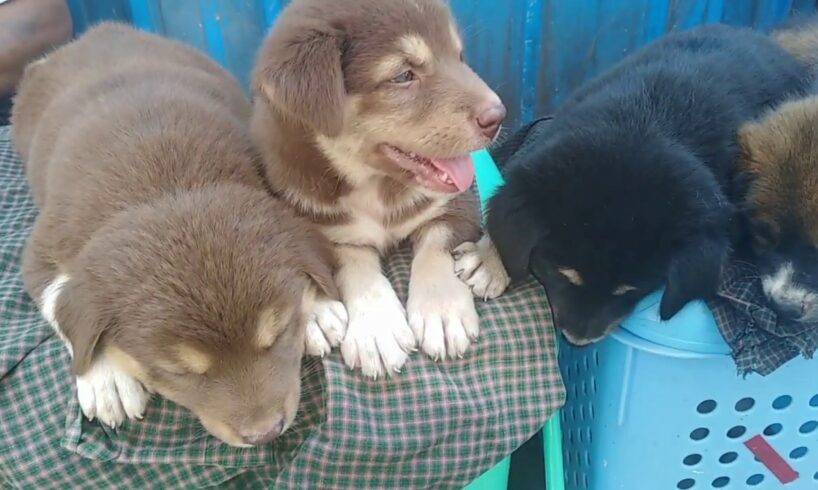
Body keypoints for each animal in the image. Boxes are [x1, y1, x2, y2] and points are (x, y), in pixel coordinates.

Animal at [10, 23, 334, 448]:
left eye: (277, 335)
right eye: (180, 371)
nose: (265, 433)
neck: (165, 186)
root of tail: (98, 31)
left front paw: (319, 312)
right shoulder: (42, 252)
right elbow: (65, 308)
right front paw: (106, 376)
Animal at [253, 0, 510, 378]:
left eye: (460, 56)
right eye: (403, 75)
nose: (498, 116)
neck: (376, 184)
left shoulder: (455, 203)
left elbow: (434, 247)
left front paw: (442, 311)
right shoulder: (325, 229)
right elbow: (356, 266)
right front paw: (377, 330)